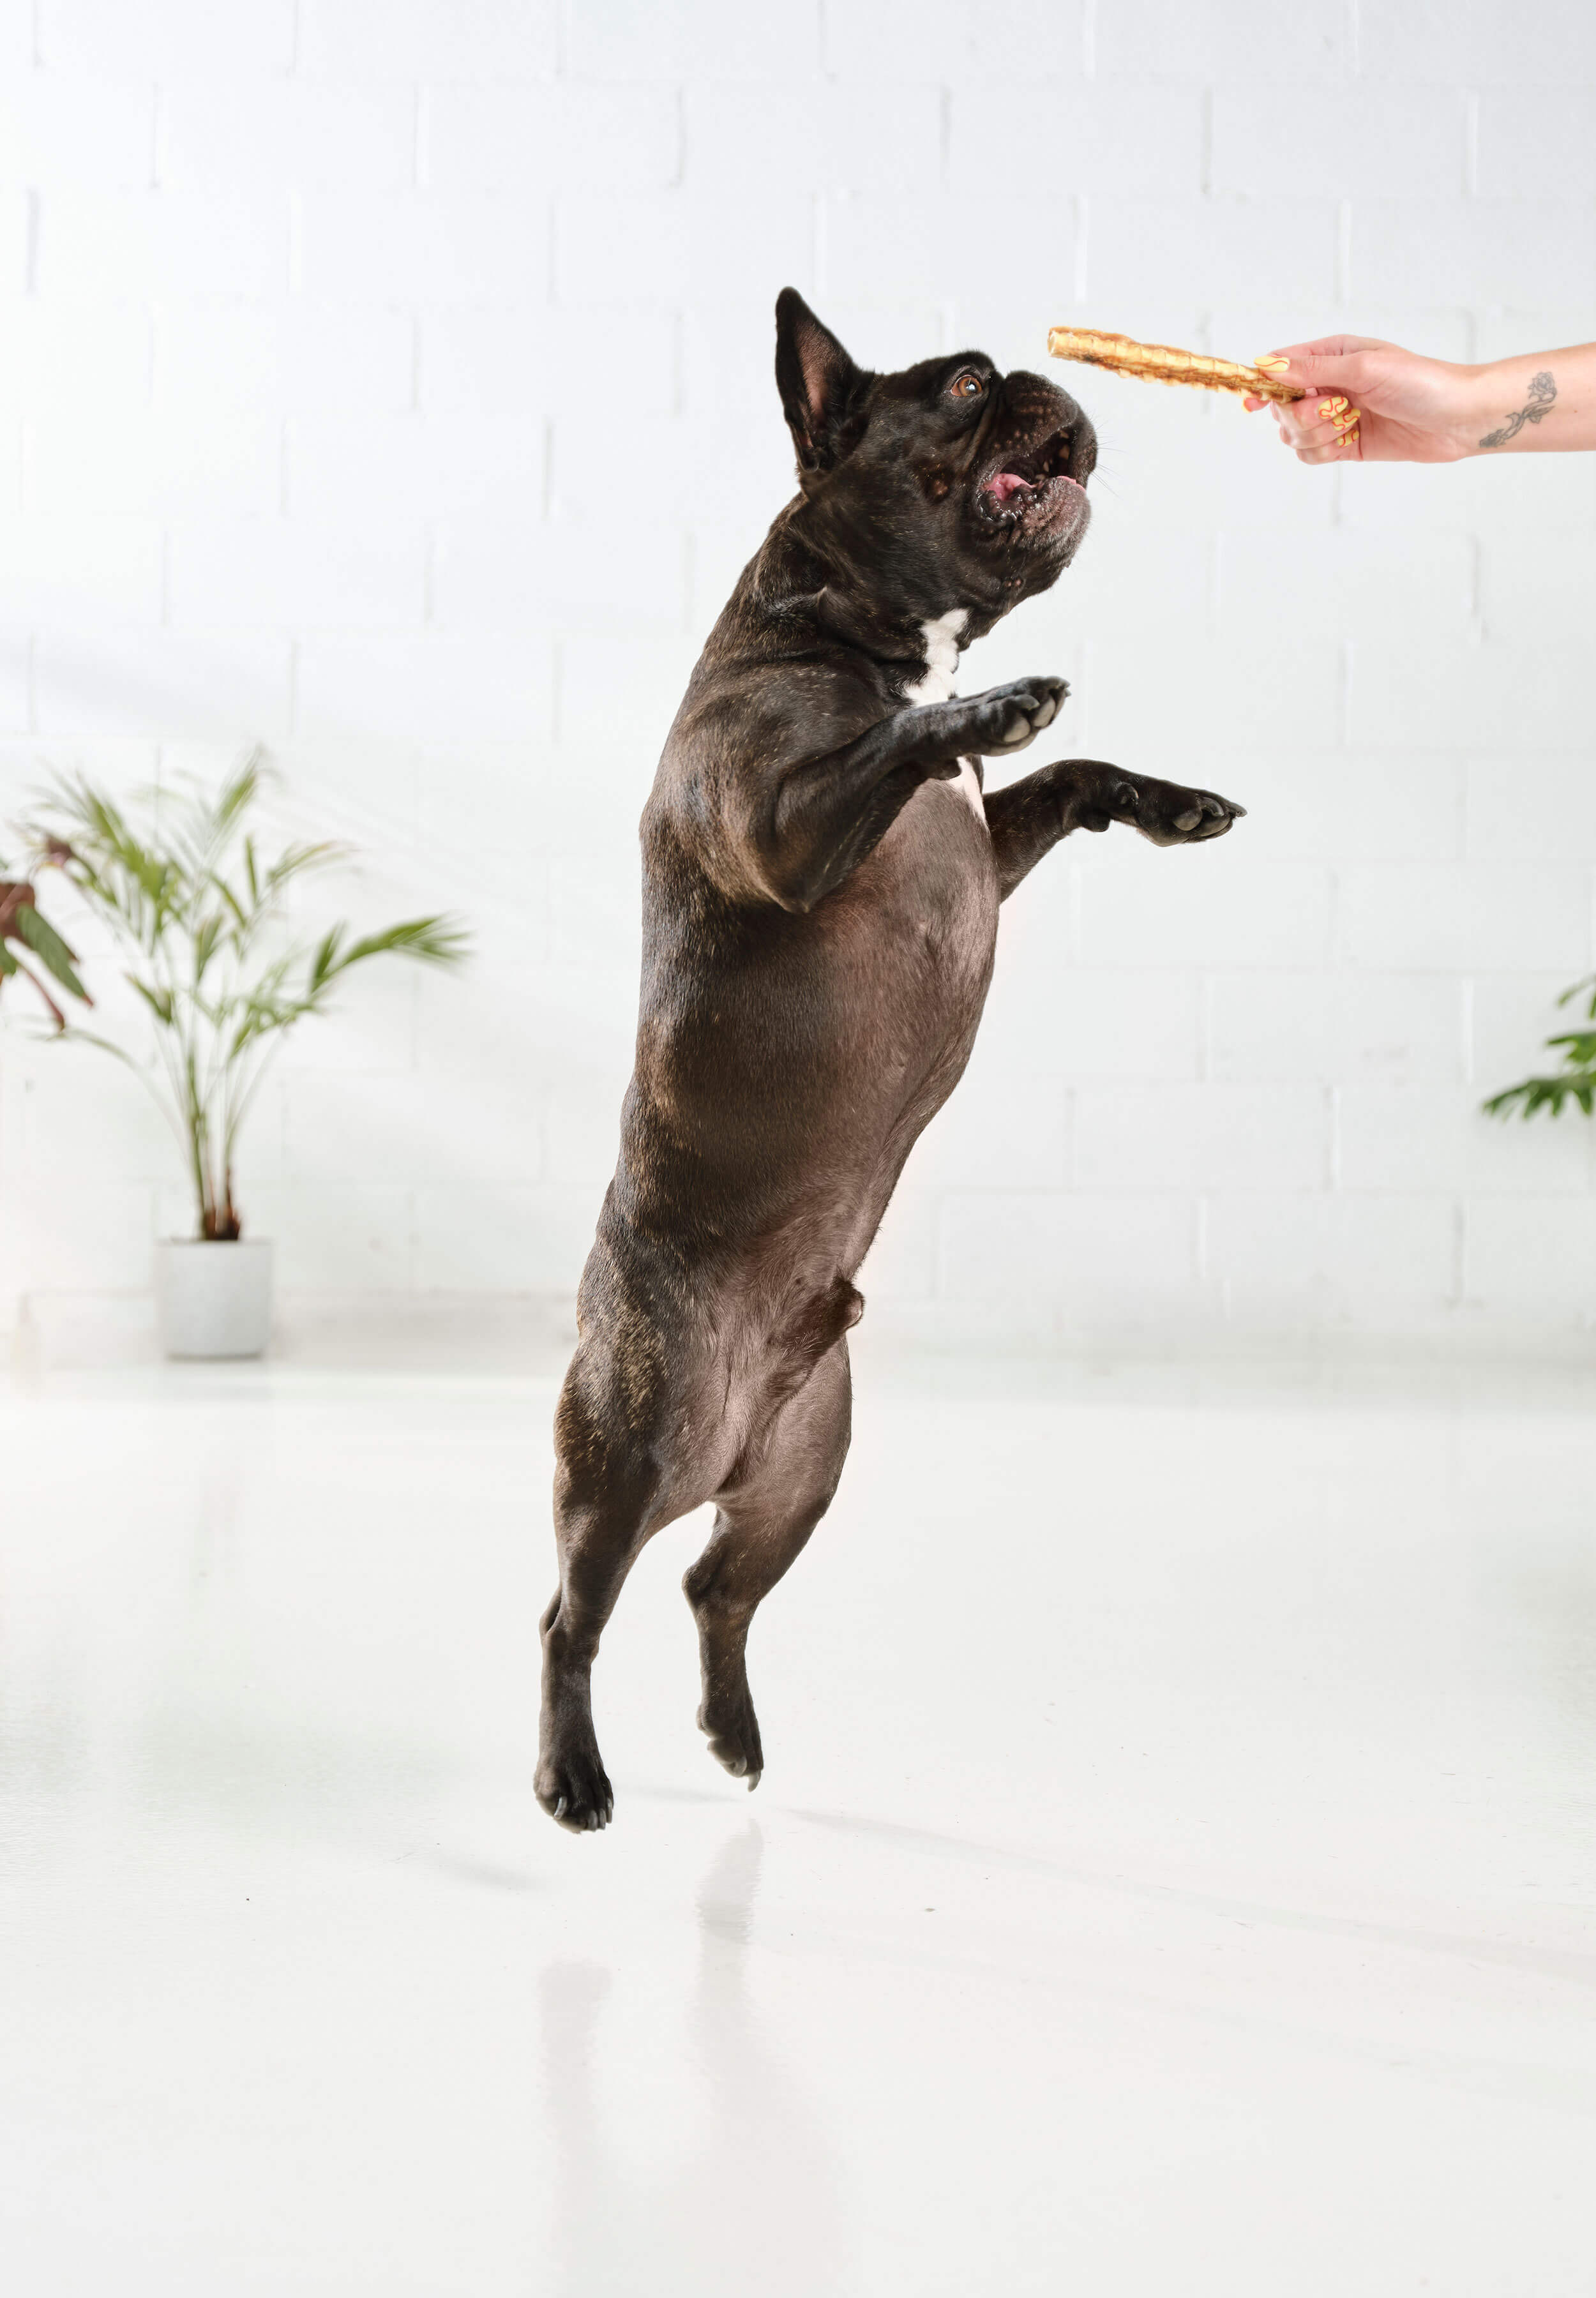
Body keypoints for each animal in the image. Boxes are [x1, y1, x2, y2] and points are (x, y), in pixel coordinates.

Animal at [531, 292, 1242, 1829]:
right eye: (967, 386)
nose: (1036, 375)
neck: (863, 632)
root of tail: (734, 1426)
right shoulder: (784, 830)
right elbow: (916, 739)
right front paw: (994, 705)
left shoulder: (986, 843)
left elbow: (1068, 779)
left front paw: (1166, 801)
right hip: (632, 1443)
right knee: (574, 1613)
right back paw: (573, 1775)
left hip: (806, 1472)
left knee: (714, 1590)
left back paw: (734, 1735)